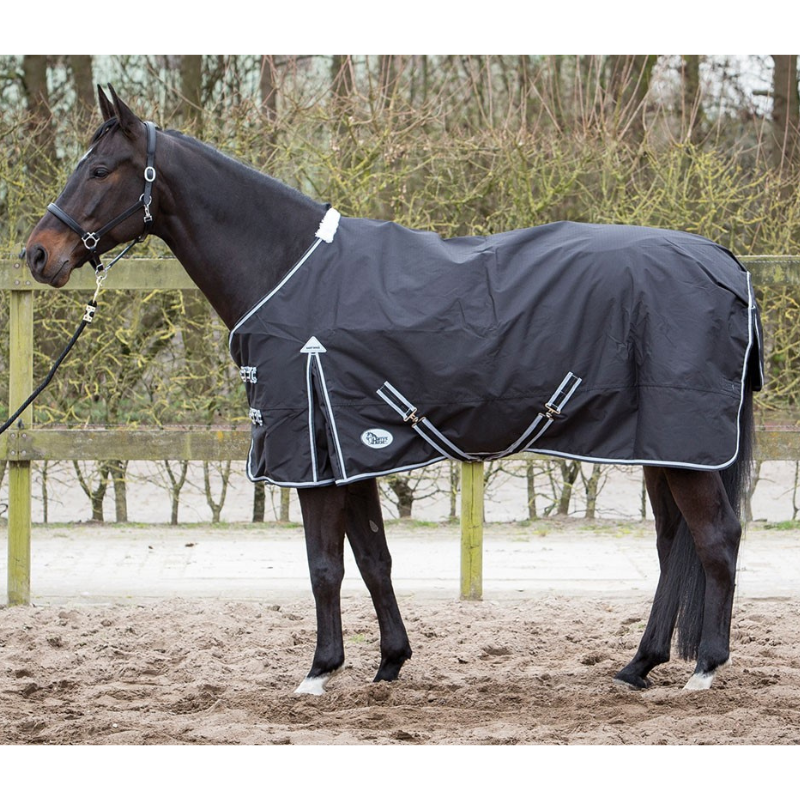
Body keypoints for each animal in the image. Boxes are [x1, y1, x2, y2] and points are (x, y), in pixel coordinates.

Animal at [25, 86, 761, 695]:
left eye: (99, 169)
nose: (37, 254)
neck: (289, 270)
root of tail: (726, 263)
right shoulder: (350, 450)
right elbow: (373, 557)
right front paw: (389, 663)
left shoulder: (313, 457)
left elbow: (324, 565)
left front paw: (320, 671)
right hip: (661, 449)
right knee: (672, 546)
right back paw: (638, 666)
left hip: (686, 448)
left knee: (717, 538)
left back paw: (705, 668)